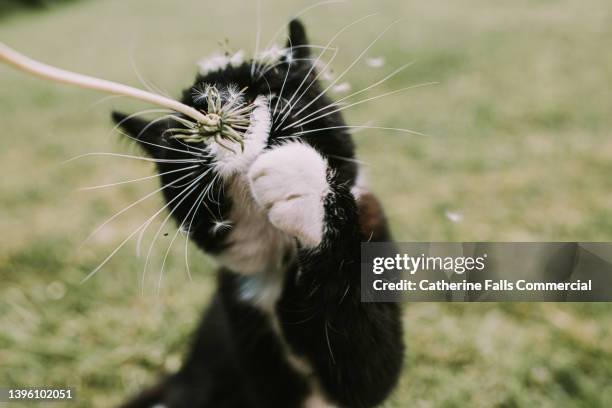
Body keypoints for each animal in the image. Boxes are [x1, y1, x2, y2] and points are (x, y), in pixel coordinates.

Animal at [115, 19, 404, 408]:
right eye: (187, 135)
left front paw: (297, 180)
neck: (284, 263)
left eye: (267, 91)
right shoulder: (241, 316)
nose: (231, 120)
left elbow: (367, 367)